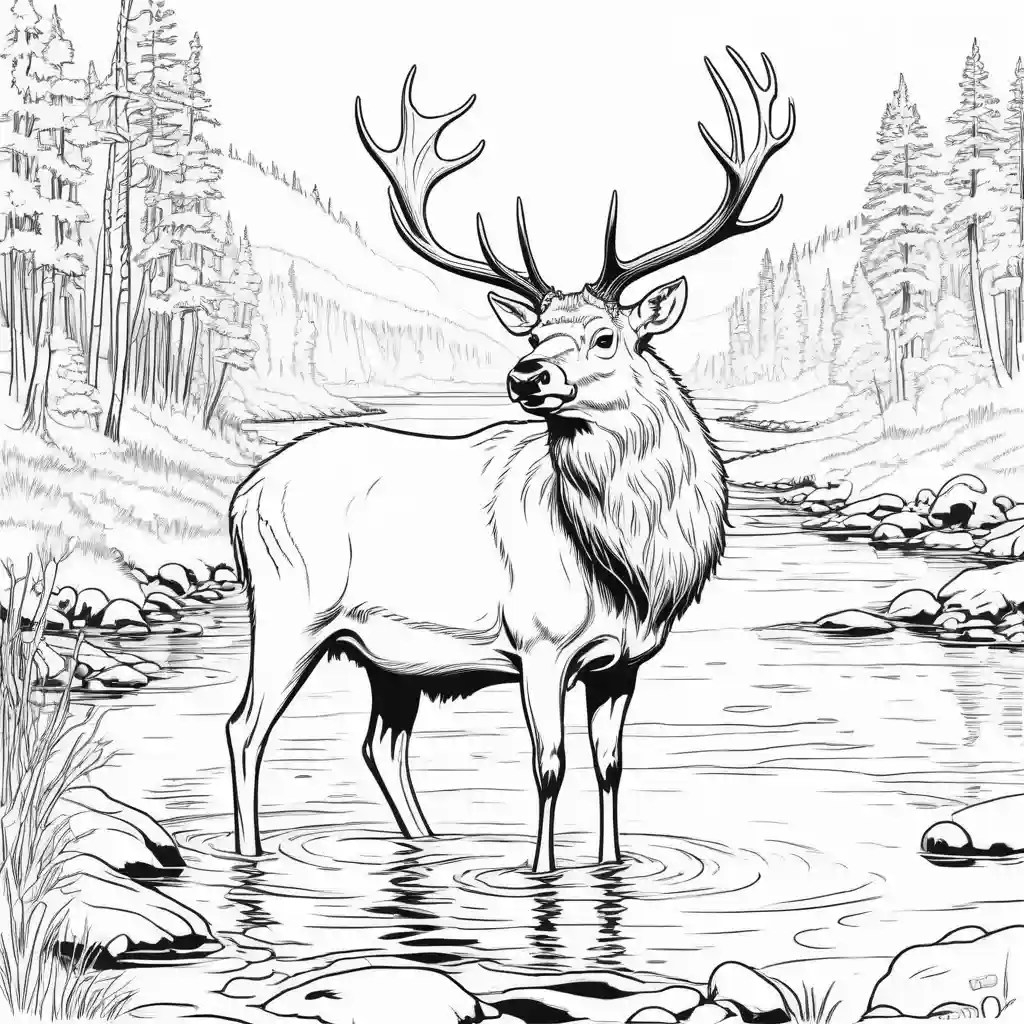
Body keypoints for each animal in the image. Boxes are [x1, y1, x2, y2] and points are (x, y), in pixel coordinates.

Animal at [227, 49, 794, 873]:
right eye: (530, 336)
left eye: (605, 337)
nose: (527, 376)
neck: (632, 567)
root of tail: (241, 499)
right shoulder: (539, 643)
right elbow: (548, 766)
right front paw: (539, 871)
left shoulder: (624, 661)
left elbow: (611, 765)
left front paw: (611, 865)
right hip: (289, 610)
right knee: (245, 729)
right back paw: (252, 855)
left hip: (386, 658)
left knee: (380, 745)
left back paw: (427, 842)